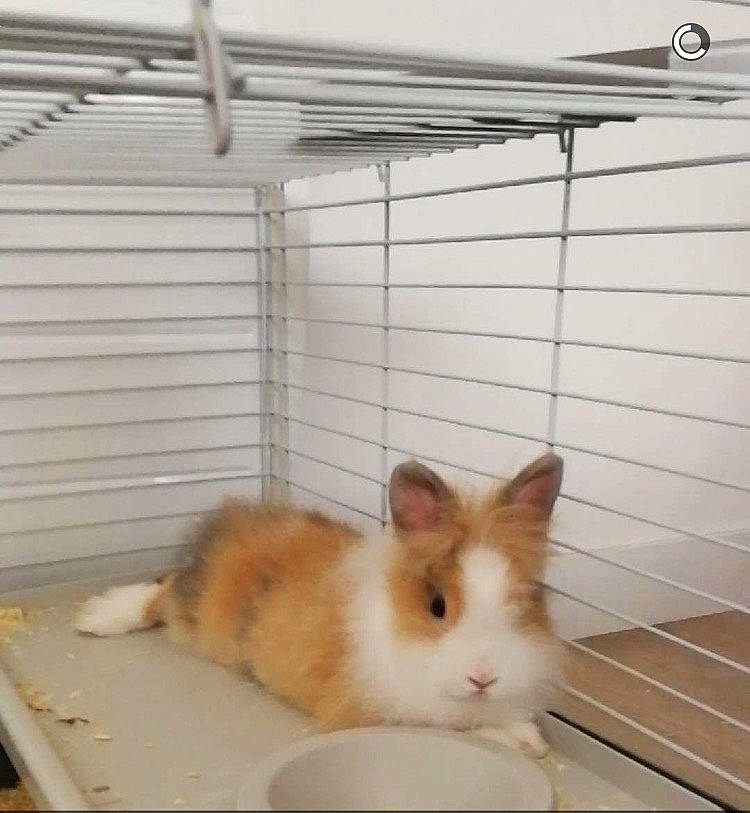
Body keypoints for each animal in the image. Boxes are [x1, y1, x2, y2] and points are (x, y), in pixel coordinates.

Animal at [75, 452, 563, 757]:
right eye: (437, 606)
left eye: (524, 603)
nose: (484, 678)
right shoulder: (387, 710)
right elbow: (463, 726)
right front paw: (524, 742)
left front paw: (530, 737)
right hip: (204, 622)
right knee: (160, 594)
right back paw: (96, 618)